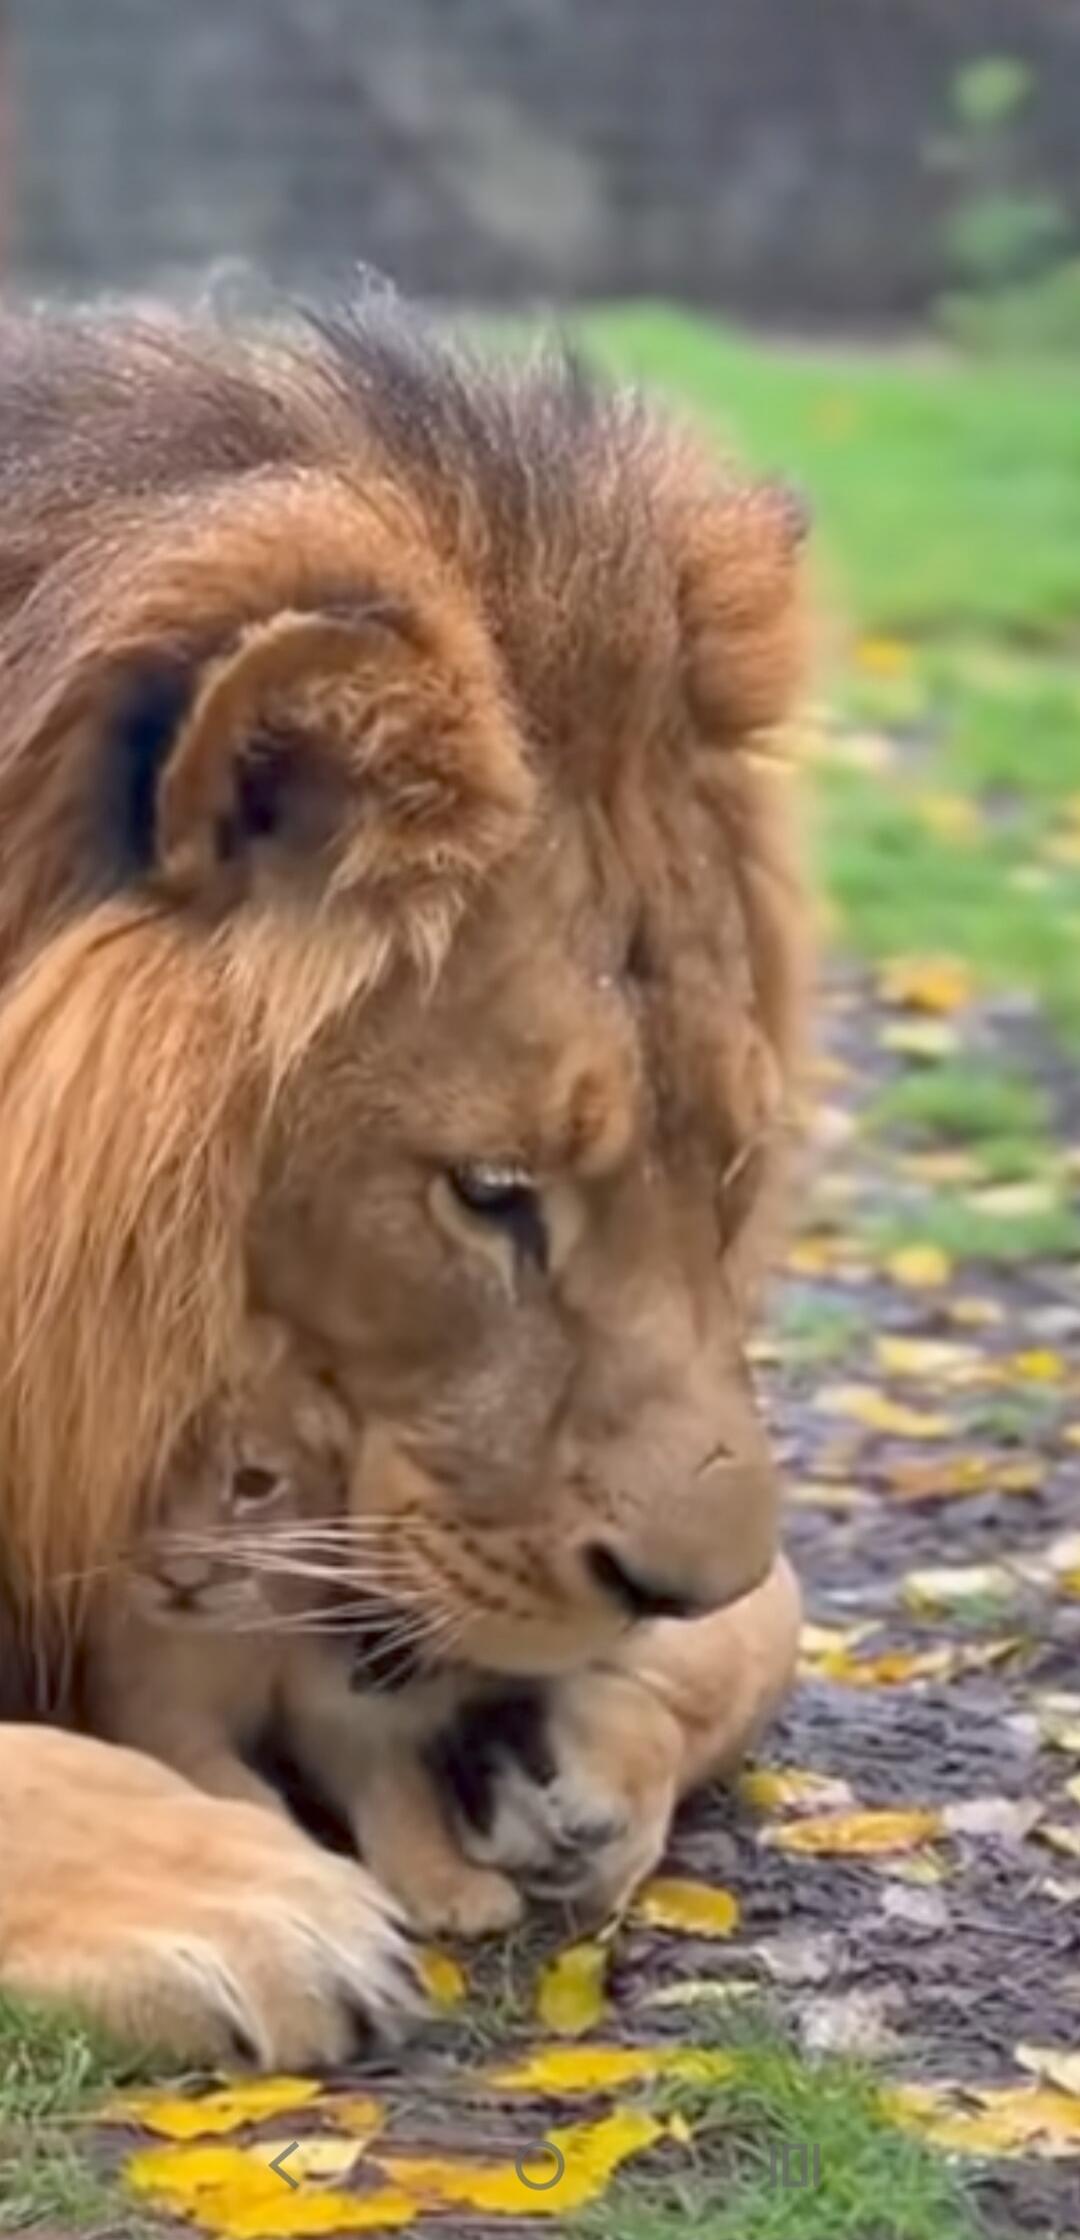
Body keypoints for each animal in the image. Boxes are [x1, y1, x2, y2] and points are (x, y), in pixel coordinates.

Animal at [0, 296, 808, 2067]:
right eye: (489, 1193)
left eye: (729, 1170)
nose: (667, 1582)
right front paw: (225, 1895)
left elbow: (766, 1620)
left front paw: (578, 1752)